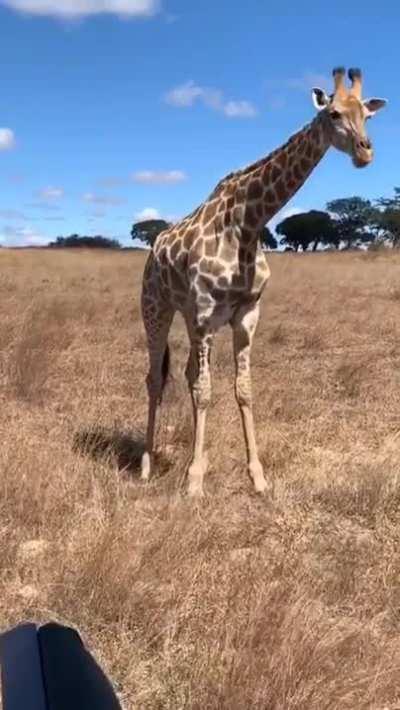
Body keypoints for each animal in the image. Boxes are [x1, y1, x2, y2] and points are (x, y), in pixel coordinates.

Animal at [140, 67, 386, 497]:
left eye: (368, 116)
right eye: (334, 113)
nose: (365, 152)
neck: (249, 222)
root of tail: (154, 248)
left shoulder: (246, 313)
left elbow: (242, 389)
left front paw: (256, 476)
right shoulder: (205, 311)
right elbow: (206, 391)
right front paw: (194, 482)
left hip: (188, 316)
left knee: (186, 375)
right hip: (157, 308)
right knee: (156, 378)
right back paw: (147, 464)